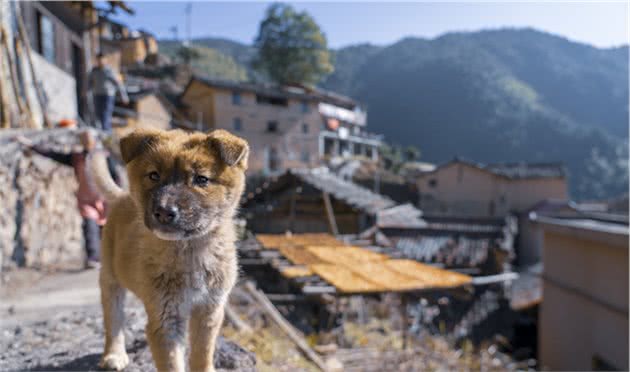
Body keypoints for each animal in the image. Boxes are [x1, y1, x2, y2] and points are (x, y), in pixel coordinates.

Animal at [91, 129, 249, 372]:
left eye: (201, 179)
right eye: (154, 175)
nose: (164, 212)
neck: (191, 251)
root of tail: (122, 196)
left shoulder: (209, 310)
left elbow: (202, 355)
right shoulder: (165, 319)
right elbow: (172, 363)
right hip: (110, 278)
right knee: (113, 317)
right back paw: (114, 354)